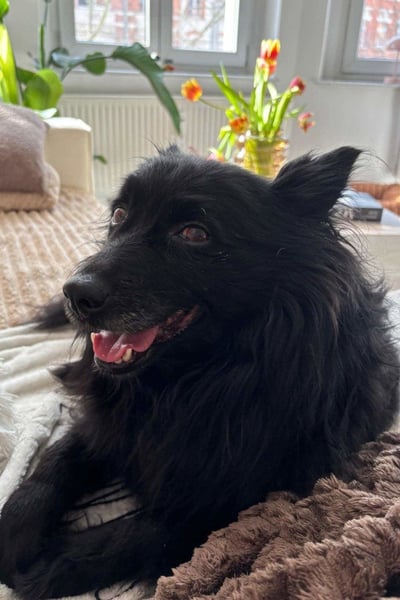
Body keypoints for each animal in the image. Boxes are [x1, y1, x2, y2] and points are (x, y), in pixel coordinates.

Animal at [0, 146, 398, 599]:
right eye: (119, 214)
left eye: (194, 233)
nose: (73, 292)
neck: (186, 381)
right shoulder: (108, 424)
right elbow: (54, 461)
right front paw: (16, 528)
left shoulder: (225, 505)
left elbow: (129, 536)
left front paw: (42, 566)